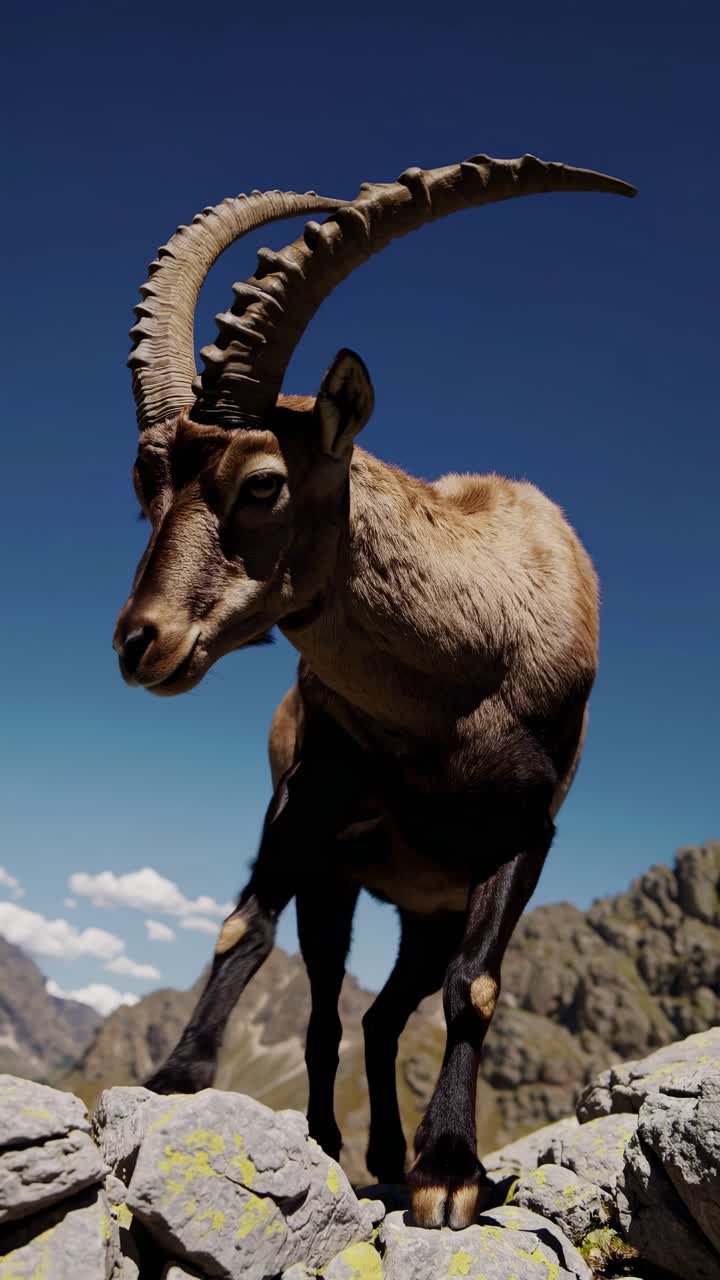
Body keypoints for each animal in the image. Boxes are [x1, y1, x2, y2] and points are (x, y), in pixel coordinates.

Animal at [113, 154, 635, 1228]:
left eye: (263, 482)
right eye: (148, 482)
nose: (143, 642)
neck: (453, 689)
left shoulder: (525, 834)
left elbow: (477, 989)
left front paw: (450, 1169)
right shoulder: (306, 810)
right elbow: (243, 930)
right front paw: (178, 1080)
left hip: (428, 910)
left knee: (395, 1008)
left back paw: (396, 1151)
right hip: (350, 882)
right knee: (333, 1008)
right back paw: (330, 1138)